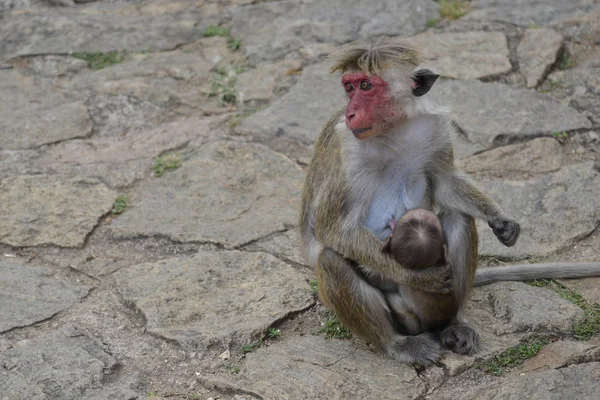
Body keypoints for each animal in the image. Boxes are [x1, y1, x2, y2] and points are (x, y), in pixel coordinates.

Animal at [298, 39, 600, 368]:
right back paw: (396, 344)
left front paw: (500, 218)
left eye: (366, 86)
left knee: (459, 219)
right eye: (349, 87)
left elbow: (444, 183)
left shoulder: (435, 129)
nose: (351, 112)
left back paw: (451, 324)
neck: (393, 130)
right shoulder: (346, 150)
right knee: (332, 260)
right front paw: (420, 277)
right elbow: (333, 229)